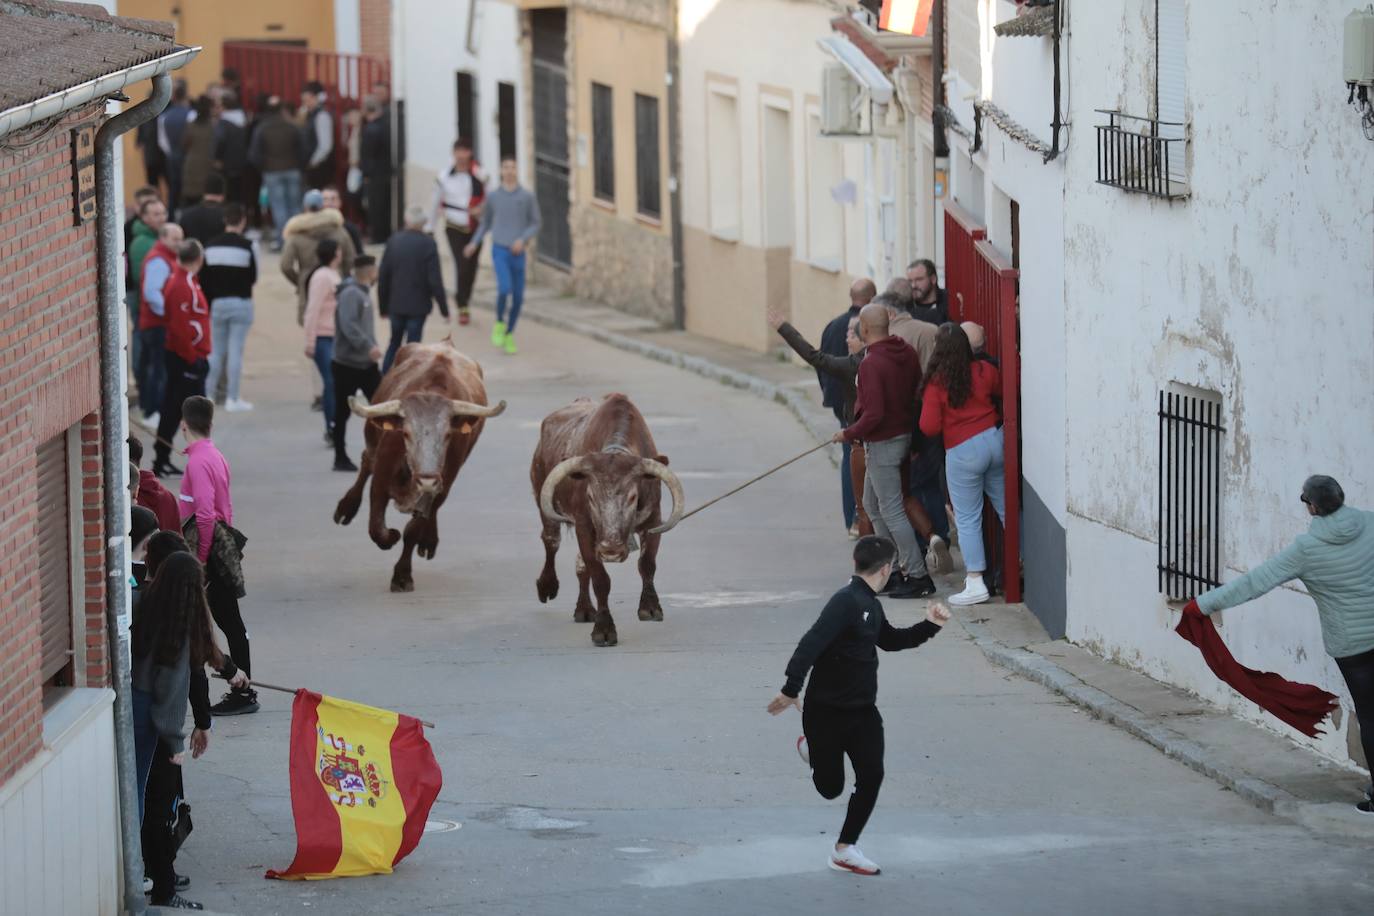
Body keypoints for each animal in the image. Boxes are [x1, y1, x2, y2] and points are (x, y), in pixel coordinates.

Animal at [332, 340, 505, 590]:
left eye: (448, 435)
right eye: (405, 433)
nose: (427, 480)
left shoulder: (443, 483)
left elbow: (413, 530)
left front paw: (403, 575)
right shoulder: (381, 480)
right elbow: (377, 528)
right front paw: (390, 537)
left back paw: (429, 540)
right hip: (372, 438)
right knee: (366, 462)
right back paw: (346, 507)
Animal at [527, 392, 684, 645]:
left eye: (632, 496)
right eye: (590, 496)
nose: (611, 549)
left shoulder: (653, 521)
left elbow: (647, 564)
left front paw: (650, 608)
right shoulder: (584, 527)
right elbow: (600, 579)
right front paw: (604, 629)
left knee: (581, 566)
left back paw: (584, 609)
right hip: (545, 506)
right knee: (551, 542)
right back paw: (547, 586)